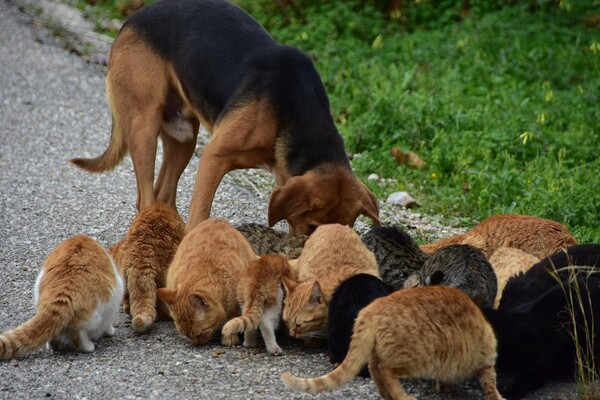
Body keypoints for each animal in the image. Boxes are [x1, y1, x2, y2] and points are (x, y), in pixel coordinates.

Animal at [71, 0, 380, 234]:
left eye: (347, 229)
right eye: (313, 226)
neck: (296, 114)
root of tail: (132, 19)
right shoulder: (214, 158)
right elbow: (200, 213)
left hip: (183, 137)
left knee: (164, 194)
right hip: (144, 126)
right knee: (146, 196)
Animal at [156, 217, 256, 346]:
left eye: (200, 333)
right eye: (186, 335)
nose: (197, 344)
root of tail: (215, 219)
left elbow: (232, 320)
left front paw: (229, 337)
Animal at [284, 284, 504, 400]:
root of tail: (371, 309)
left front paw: (446, 388)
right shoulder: (485, 362)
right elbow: (491, 385)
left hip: (379, 351)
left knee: (374, 368)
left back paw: (386, 394)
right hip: (418, 358)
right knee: (385, 370)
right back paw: (402, 396)